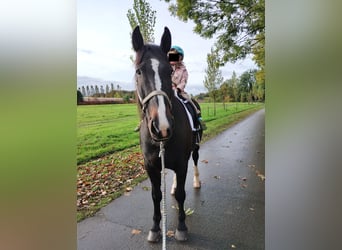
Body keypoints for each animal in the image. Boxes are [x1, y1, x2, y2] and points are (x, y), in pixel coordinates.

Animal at [131, 25, 200, 242]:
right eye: (138, 71)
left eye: (169, 71)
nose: (161, 126)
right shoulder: (151, 166)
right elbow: (156, 195)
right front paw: (155, 228)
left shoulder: (182, 163)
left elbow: (181, 195)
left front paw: (181, 227)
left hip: (195, 149)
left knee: (195, 163)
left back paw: (197, 181)